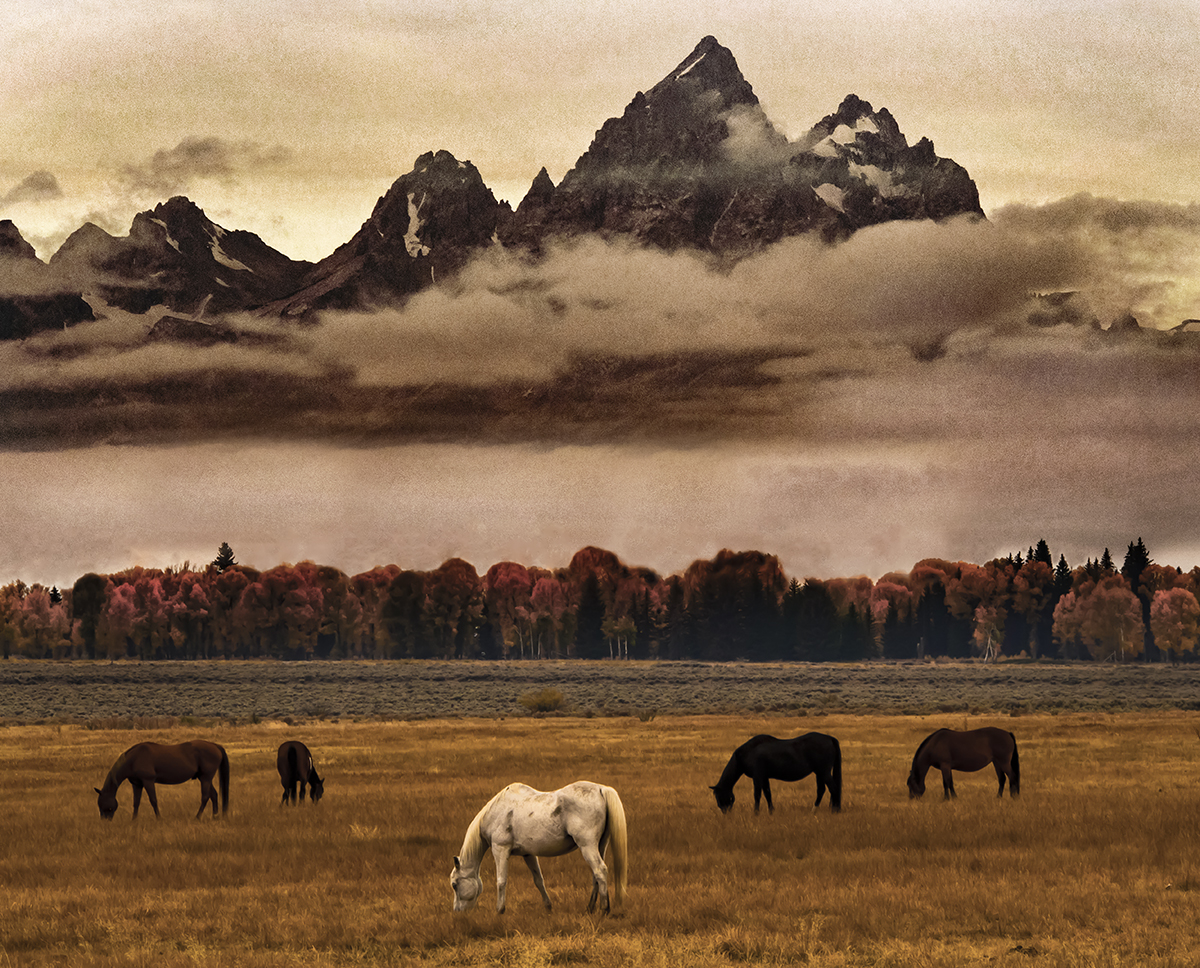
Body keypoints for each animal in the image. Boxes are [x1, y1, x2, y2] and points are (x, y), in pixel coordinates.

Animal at [93, 743, 229, 815]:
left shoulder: (148, 781)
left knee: (205, 797)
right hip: (204, 778)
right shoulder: (137, 784)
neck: (133, 759)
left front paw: (159, 819)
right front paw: (133, 821)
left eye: (103, 804)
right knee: (214, 795)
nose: (105, 820)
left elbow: (153, 800)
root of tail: (216, 746)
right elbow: (136, 802)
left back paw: (197, 817)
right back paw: (214, 816)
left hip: (206, 778)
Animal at [451, 782, 628, 916]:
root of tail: (601, 789)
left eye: (454, 885)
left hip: (587, 846)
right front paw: (548, 907)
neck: (497, 812)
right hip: (600, 846)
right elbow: (538, 880)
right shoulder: (528, 854)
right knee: (595, 876)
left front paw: (499, 910)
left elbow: (501, 881)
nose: (457, 912)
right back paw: (590, 908)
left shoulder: (500, 849)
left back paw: (604, 909)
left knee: (600, 871)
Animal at [705, 734, 840, 815]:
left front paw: (756, 813)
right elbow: (767, 794)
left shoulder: (757, 777)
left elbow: (757, 795)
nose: (725, 813)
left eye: (719, 796)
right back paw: (814, 811)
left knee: (833, 789)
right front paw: (771, 812)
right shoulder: (764, 777)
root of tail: (829, 738)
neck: (748, 752)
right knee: (821, 790)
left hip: (824, 772)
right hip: (819, 773)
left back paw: (835, 811)